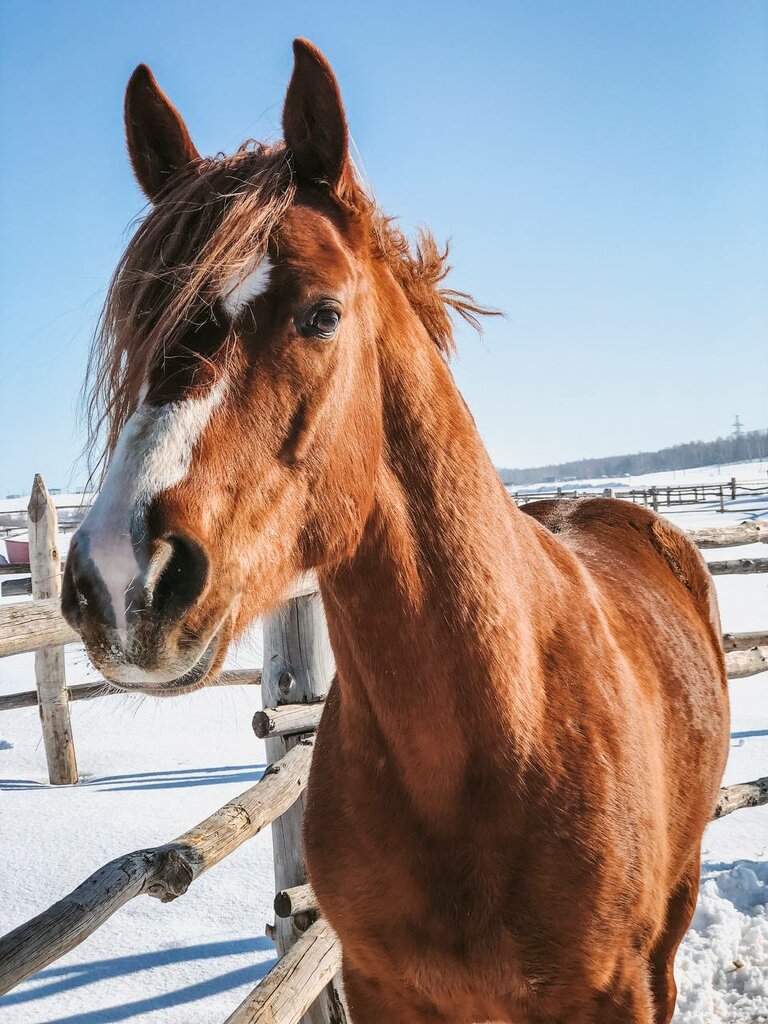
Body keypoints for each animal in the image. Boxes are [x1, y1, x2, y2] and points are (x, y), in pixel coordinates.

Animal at [63, 39, 729, 1024]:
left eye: (322, 314)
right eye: (139, 326)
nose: (120, 580)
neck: (494, 742)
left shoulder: (614, 993)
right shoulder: (377, 984)